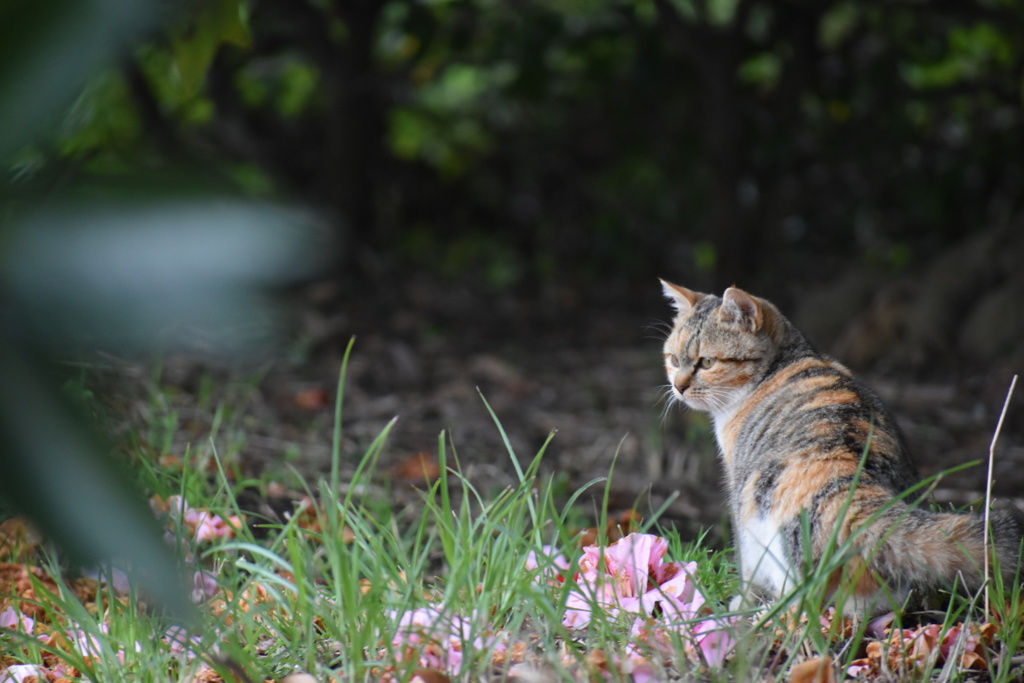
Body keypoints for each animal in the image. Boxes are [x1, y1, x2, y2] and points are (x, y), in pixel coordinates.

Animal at [659, 280, 1019, 618]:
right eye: (673, 359)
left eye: (707, 362)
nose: (678, 386)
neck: (787, 361)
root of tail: (855, 493)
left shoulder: (738, 492)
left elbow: (745, 565)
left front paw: (742, 601)